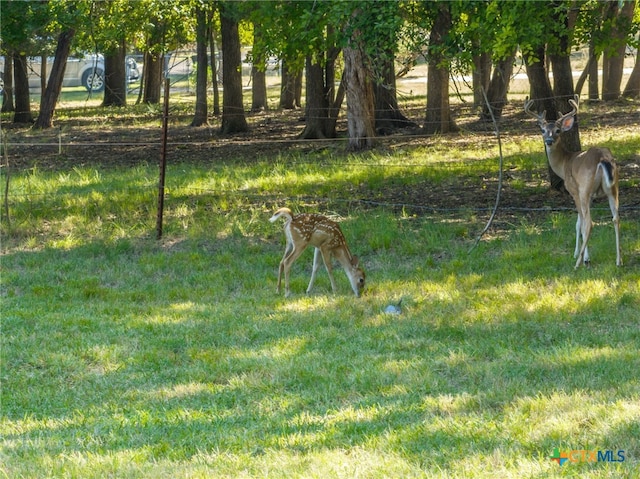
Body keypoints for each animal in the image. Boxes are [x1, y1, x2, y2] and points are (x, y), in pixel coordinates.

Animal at [524, 96, 624, 270]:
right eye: (543, 130)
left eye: (558, 130)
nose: (549, 141)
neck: (564, 164)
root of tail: (602, 158)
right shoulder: (589, 196)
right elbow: (578, 222)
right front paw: (577, 253)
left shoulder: (575, 191)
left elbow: (581, 223)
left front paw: (583, 257)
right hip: (613, 188)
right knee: (616, 218)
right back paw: (619, 261)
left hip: (585, 187)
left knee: (589, 223)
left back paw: (579, 264)